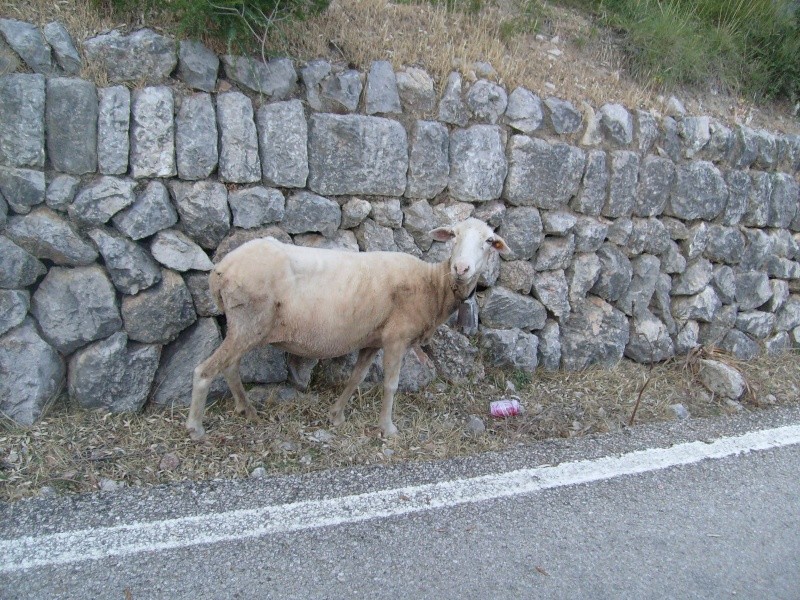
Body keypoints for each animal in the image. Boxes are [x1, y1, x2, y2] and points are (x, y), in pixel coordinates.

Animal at [187, 218, 510, 438]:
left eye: (488, 241)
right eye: (454, 236)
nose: (461, 268)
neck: (432, 285)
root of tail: (221, 270)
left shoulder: (372, 339)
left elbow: (356, 378)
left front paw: (336, 415)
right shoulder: (396, 337)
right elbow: (390, 384)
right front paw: (388, 428)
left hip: (245, 326)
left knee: (229, 366)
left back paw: (247, 410)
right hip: (248, 321)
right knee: (205, 370)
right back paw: (195, 427)